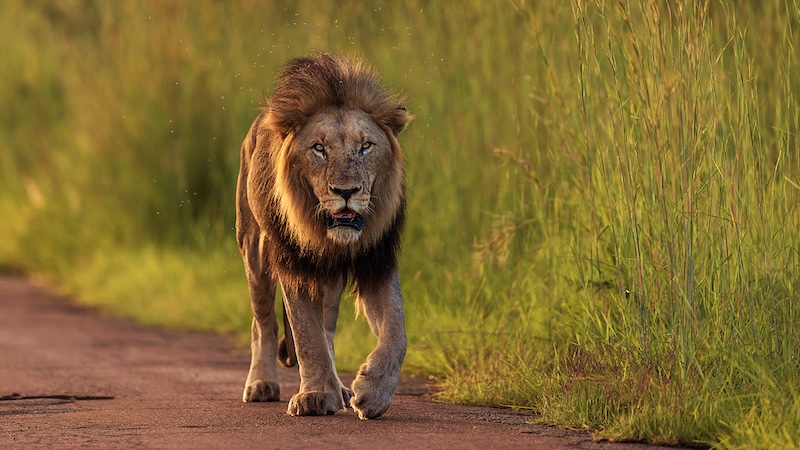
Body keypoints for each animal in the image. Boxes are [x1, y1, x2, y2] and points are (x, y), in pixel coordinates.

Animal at [235, 53, 411, 420]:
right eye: (319, 149)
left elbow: (397, 332)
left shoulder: (376, 258)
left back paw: (340, 388)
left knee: (328, 326)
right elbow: (306, 334)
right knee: (264, 324)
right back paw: (261, 384)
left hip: (328, 278)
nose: (346, 192)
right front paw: (315, 395)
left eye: (365, 146)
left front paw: (373, 393)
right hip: (254, 249)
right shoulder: (294, 261)